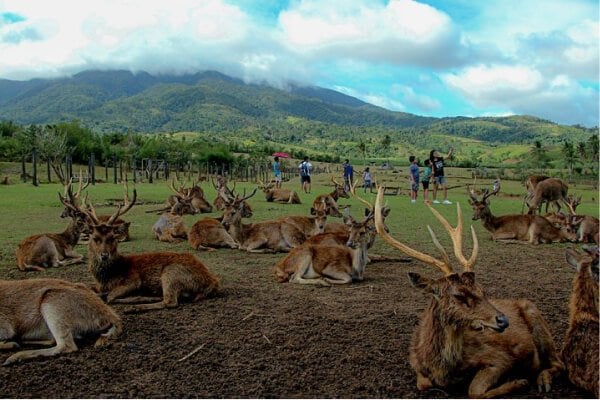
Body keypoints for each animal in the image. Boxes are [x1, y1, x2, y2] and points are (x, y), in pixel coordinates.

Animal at [63, 184, 223, 312]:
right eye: (95, 238)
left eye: (112, 237)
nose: (104, 255)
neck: (106, 277)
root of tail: (213, 282)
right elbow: (85, 287)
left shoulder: (133, 280)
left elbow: (111, 296)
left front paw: (137, 298)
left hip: (171, 273)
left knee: (170, 302)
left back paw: (136, 307)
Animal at [372, 188, 564, 400]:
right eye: (458, 295)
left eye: (482, 290)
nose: (503, 320)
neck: (441, 368)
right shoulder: (416, 364)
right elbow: (423, 383)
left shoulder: (499, 358)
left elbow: (474, 391)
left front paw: (518, 382)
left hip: (537, 318)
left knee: (559, 362)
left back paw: (543, 381)